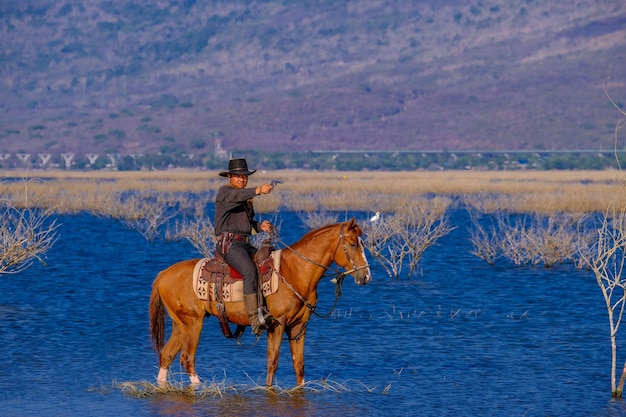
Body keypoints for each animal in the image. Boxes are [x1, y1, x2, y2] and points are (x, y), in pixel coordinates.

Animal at [148, 218, 368, 386]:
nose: (366, 276)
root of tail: (164, 273)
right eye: (353, 244)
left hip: (180, 324)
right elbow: (272, 363)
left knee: (166, 356)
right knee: (187, 359)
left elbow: (299, 366)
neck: (295, 271)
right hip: (193, 323)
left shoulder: (299, 327)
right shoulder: (277, 325)